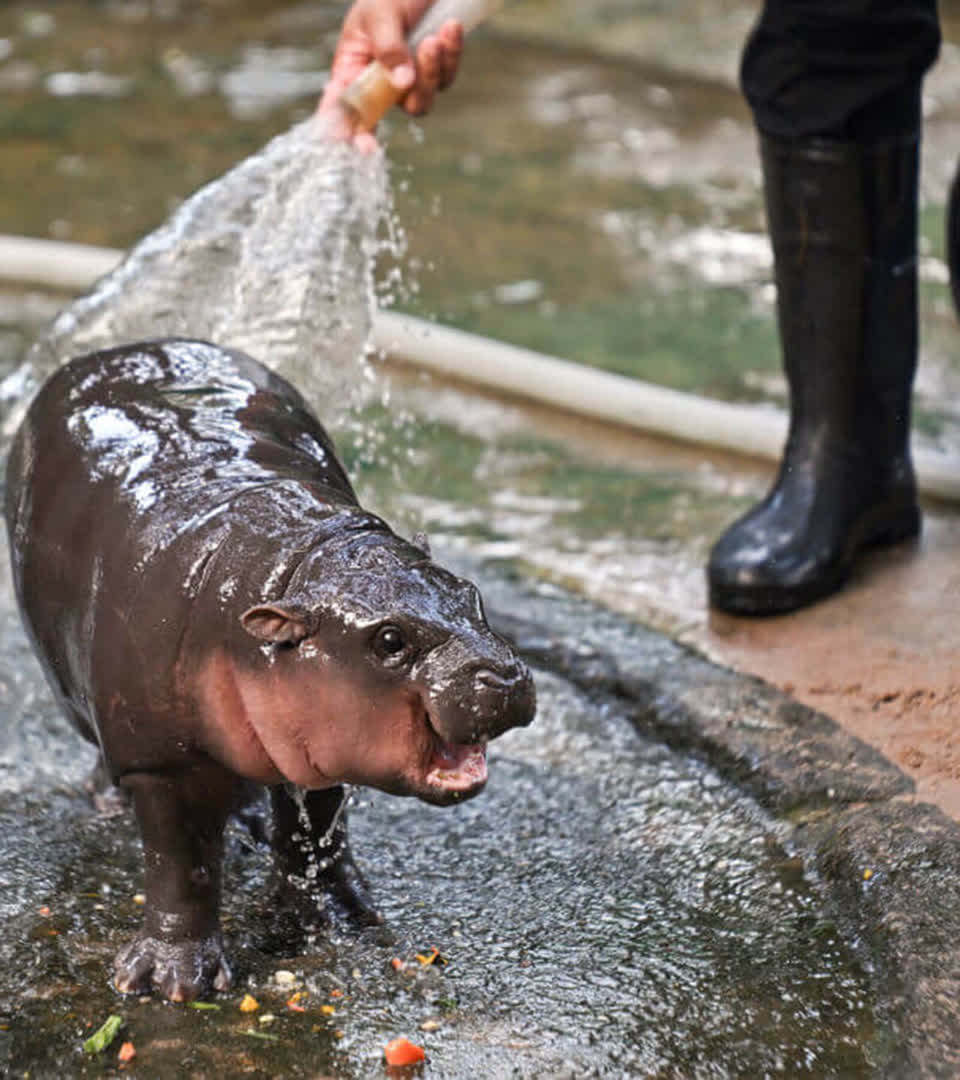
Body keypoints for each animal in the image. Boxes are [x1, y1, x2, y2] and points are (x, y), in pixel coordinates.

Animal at [3, 339, 535, 1002]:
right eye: (390, 640)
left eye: (471, 594)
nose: (505, 676)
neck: (293, 565)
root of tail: (122, 349)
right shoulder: (161, 761)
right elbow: (181, 864)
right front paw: (172, 982)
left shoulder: (321, 738)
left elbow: (319, 828)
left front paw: (340, 918)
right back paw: (110, 802)